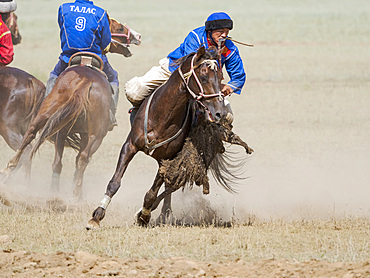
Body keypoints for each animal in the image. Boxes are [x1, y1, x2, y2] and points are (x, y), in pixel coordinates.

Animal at [0, 17, 142, 198]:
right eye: (118, 27)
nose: (138, 36)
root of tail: (85, 80)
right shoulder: (82, 134)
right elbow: (75, 159)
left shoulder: (62, 129)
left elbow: (57, 162)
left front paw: (54, 191)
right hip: (97, 134)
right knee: (83, 158)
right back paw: (77, 194)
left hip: (45, 116)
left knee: (29, 138)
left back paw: (9, 172)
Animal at [86, 45, 249, 228]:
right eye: (203, 76)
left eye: (221, 77)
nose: (219, 112)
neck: (163, 116)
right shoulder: (130, 146)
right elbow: (115, 182)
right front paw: (96, 216)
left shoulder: (169, 159)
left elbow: (152, 193)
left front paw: (144, 215)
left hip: (188, 163)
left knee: (171, 187)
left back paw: (155, 213)